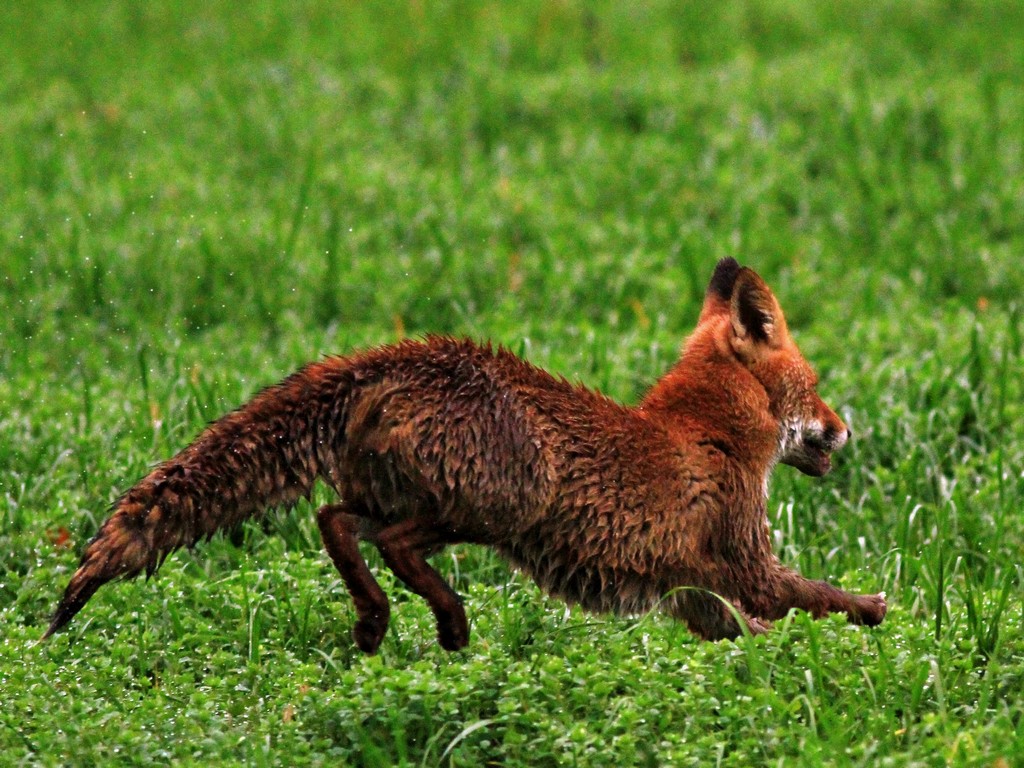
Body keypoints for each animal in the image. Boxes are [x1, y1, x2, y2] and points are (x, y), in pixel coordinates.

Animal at [44, 262, 884, 651]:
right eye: (815, 387)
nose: (845, 430)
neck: (705, 425)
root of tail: (396, 358)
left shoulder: (695, 594)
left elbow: (755, 629)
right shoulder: (743, 564)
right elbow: (817, 596)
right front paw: (877, 620)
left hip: (415, 499)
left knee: (334, 521)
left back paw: (377, 620)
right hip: (502, 505)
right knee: (388, 541)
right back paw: (445, 620)